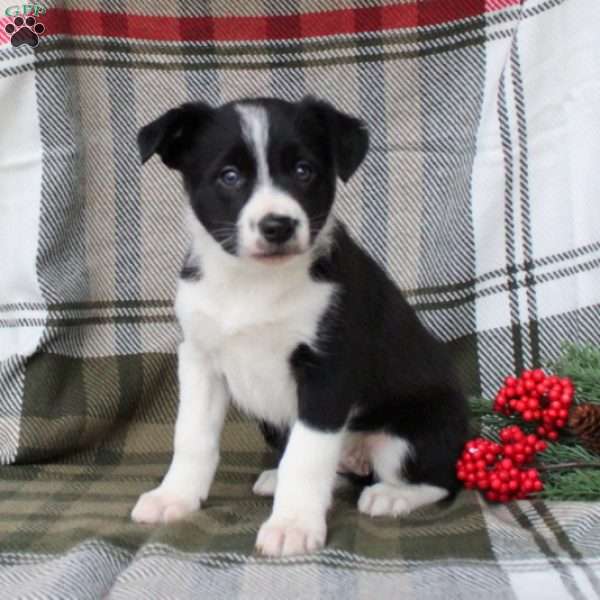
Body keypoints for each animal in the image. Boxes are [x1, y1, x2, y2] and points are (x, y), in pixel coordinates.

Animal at [131, 95, 468, 556]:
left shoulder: (327, 371)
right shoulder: (199, 358)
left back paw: (392, 495)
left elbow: (306, 457)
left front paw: (292, 524)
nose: (278, 225)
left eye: (304, 170)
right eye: (230, 176)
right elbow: (192, 436)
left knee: (441, 480)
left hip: (414, 436)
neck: (253, 283)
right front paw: (175, 497)